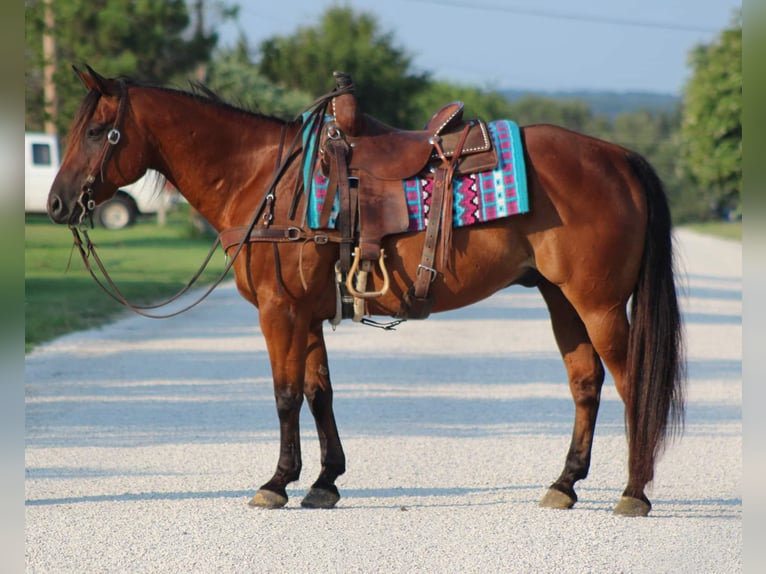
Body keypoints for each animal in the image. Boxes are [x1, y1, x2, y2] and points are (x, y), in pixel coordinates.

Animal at [46, 66, 684, 516]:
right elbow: (319, 391)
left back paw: (634, 492)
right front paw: (324, 481)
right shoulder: (307, 313)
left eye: (100, 132)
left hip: (600, 305)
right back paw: (565, 484)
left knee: (631, 384)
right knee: (586, 383)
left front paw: (277, 482)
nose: (55, 204)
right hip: (562, 300)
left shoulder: (279, 312)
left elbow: (285, 395)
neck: (267, 184)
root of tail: (618, 156)